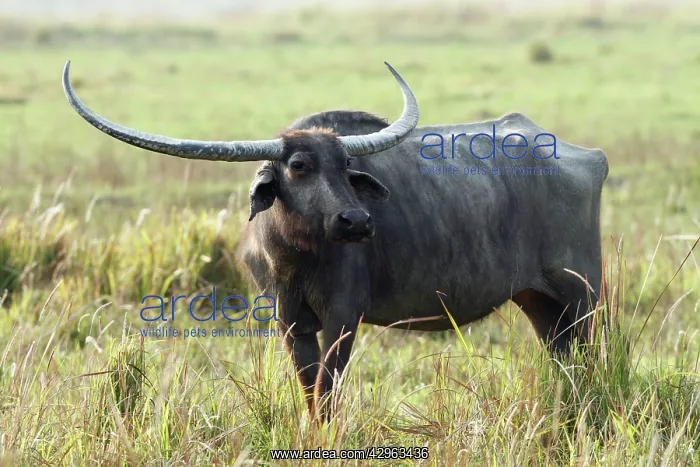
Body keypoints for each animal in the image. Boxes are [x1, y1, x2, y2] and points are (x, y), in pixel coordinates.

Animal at [62, 60, 608, 422]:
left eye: (346, 164)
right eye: (299, 165)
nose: (357, 221)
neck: (297, 258)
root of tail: (588, 157)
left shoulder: (345, 315)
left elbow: (328, 385)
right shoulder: (288, 319)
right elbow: (308, 386)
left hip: (582, 297)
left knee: (589, 360)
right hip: (540, 302)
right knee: (564, 360)